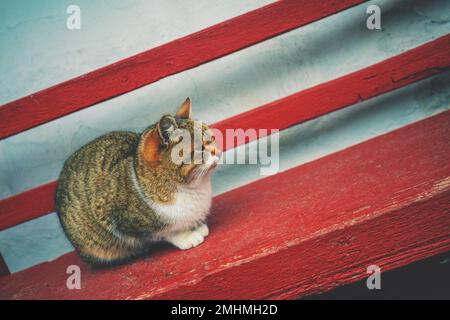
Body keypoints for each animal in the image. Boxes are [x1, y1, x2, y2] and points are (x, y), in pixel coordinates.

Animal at [55, 99, 221, 266]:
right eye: (200, 149)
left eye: (212, 139)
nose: (218, 152)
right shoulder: (117, 219)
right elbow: (165, 232)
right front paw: (186, 236)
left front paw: (196, 226)